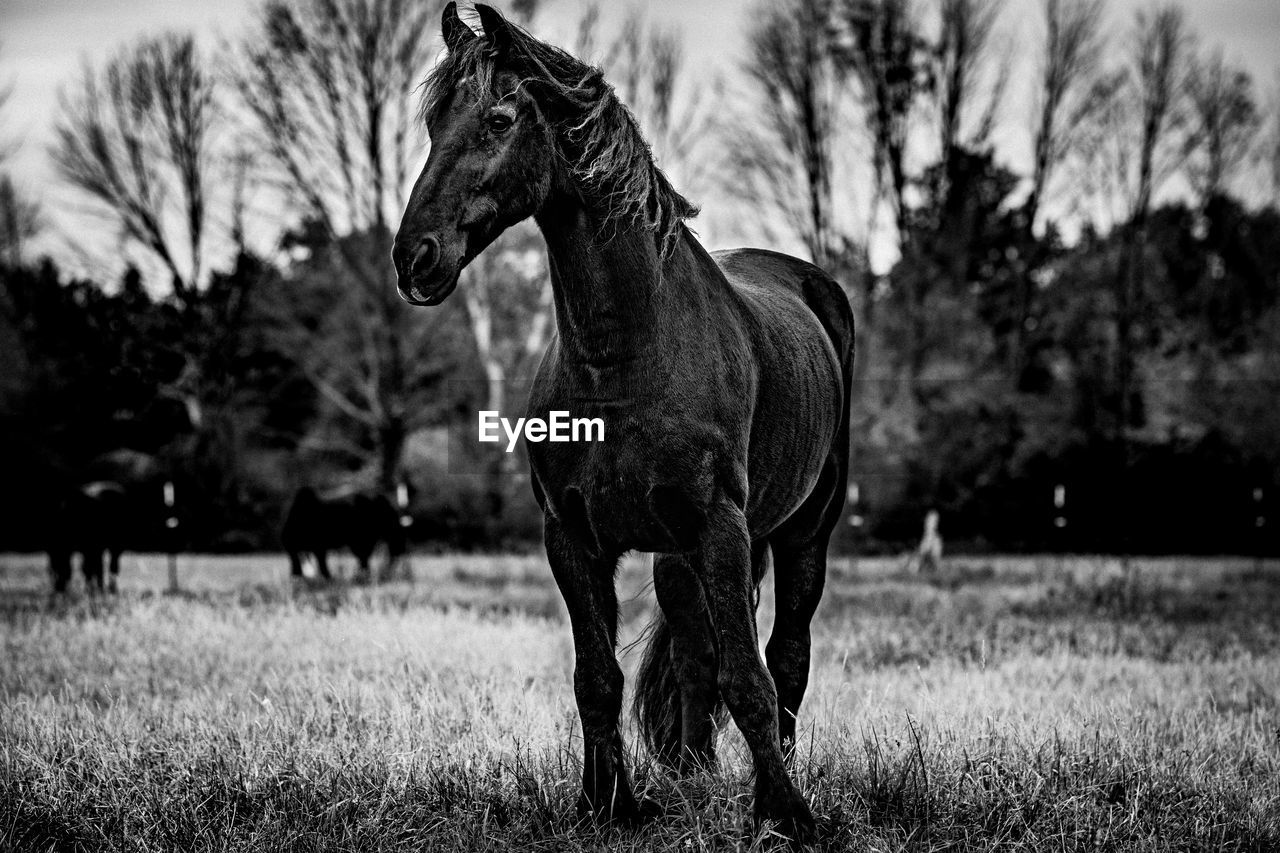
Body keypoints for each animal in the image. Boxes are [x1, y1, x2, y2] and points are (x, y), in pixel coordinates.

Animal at [389, 3, 849, 835]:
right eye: (437, 121)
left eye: (499, 118)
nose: (415, 258)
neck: (625, 353)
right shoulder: (573, 536)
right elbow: (598, 676)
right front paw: (609, 803)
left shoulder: (720, 526)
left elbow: (751, 676)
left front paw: (784, 815)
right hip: (681, 557)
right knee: (696, 653)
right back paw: (693, 773)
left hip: (803, 533)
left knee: (787, 656)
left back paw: (778, 785)